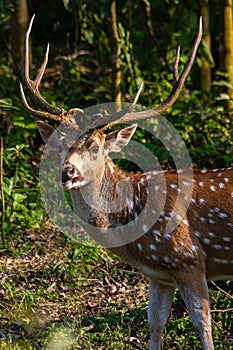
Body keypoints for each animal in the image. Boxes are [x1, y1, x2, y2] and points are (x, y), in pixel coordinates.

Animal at [20, 16, 233, 350]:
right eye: (60, 143)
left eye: (95, 146)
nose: (67, 172)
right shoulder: (160, 274)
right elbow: (155, 323)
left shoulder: (189, 258)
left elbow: (203, 325)